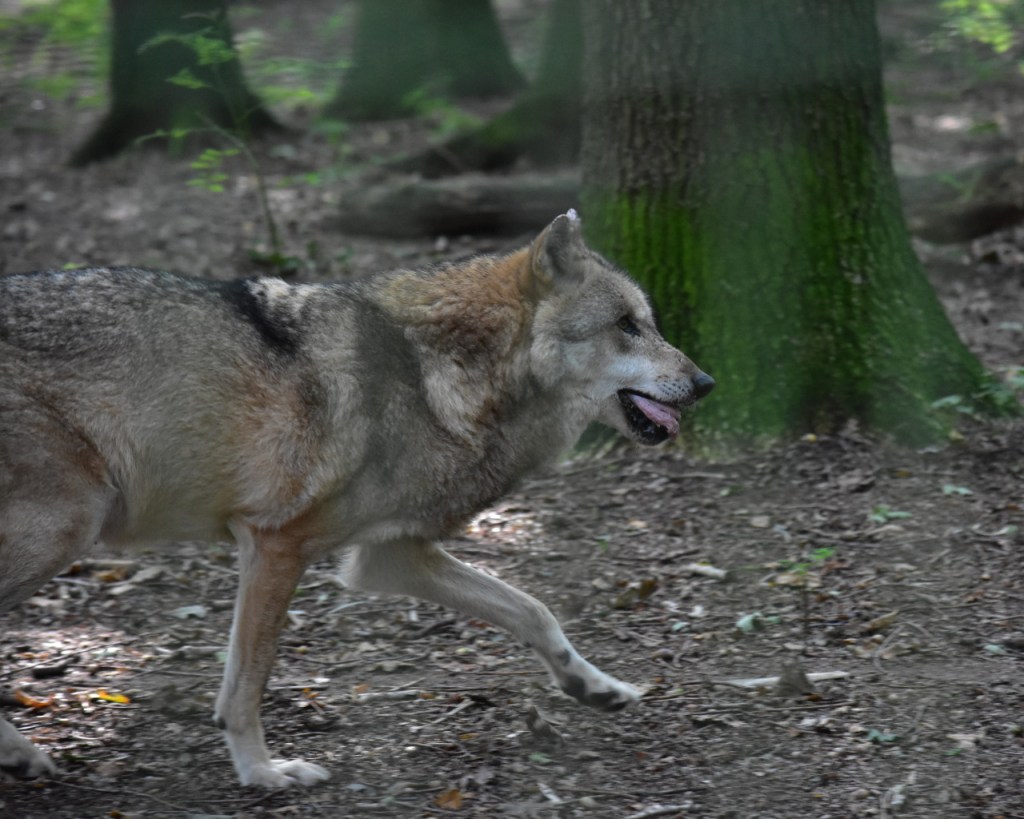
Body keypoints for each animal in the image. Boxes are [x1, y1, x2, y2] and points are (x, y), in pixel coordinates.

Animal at [0, 210, 713, 788]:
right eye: (626, 326)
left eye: (648, 323)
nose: (706, 381)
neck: (437, 378)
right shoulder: (276, 546)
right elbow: (246, 685)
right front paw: (262, 773)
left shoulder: (388, 557)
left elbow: (533, 612)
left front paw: (594, 686)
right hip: (71, 525)